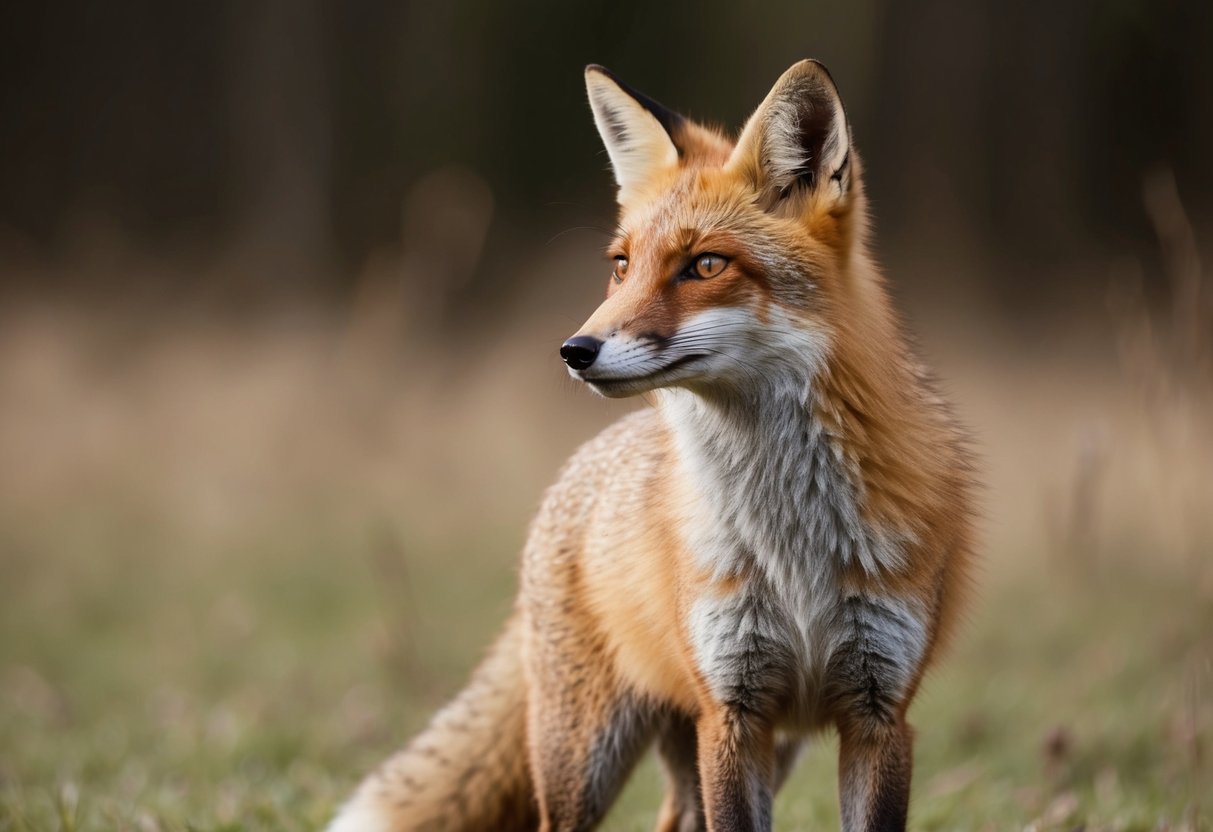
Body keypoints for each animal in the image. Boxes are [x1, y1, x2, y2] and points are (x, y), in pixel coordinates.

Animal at [328, 59, 977, 832]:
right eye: (620, 265)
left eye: (705, 266)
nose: (574, 351)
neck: (792, 543)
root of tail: (581, 468)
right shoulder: (732, 711)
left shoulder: (876, 713)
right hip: (587, 756)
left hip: (743, 745)